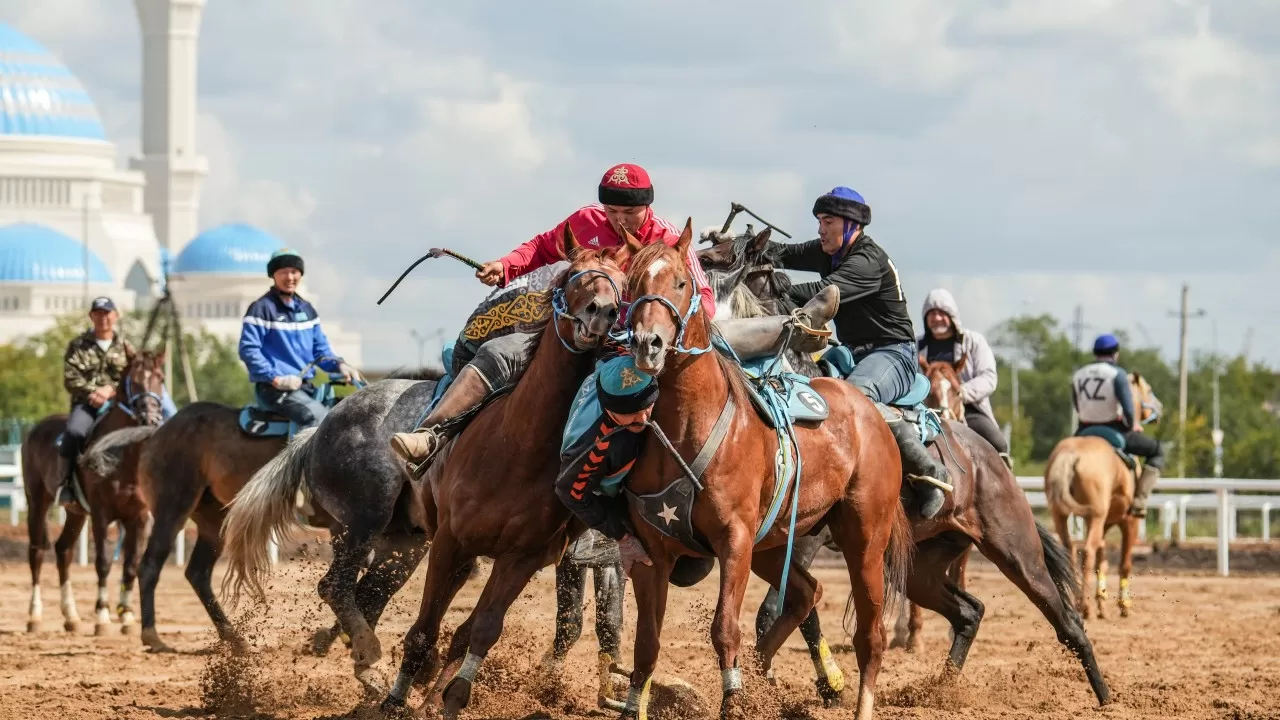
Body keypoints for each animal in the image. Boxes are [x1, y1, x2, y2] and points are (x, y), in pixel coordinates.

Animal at [22, 351, 168, 630]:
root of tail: (35, 429)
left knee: (64, 550)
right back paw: (34, 616)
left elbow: (131, 565)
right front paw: (102, 615)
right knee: (37, 552)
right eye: (133, 381)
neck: (123, 456)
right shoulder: (102, 515)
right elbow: (102, 563)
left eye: (161, 378)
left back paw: (71, 616)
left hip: (76, 513)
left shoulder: (139, 518)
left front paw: (127, 615)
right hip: (37, 501)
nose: (151, 418)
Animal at [378, 228, 640, 712]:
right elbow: (424, 629)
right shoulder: (450, 539)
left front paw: (451, 699)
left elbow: (482, 630)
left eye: (622, 285)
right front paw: (394, 700)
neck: (519, 447)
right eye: (574, 275)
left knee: (464, 630)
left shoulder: (521, 558)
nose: (602, 312)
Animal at [624, 220, 916, 717]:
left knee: (870, 636)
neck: (691, 423)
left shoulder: (735, 541)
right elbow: (647, 643)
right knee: (805, 593)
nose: (649, 344)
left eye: (681, 282)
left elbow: (725, 629)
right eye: (632, 283)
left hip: (863, 541)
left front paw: (734, 701)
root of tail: (871, 412)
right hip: (776, 544)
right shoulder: (653, 550)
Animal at [1044, 368, 1167, 617]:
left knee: (1069, 549)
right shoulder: (1127, 522)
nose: (1159, 408)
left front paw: (1102, 600)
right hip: (1097, 516)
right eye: (1148, 390)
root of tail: (1070, 455)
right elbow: (1123, 562)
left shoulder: (1103, 523)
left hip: (1062, 515)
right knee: (1087, 551)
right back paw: (1084, 607)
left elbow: (1103, 560)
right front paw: (1123, 604)